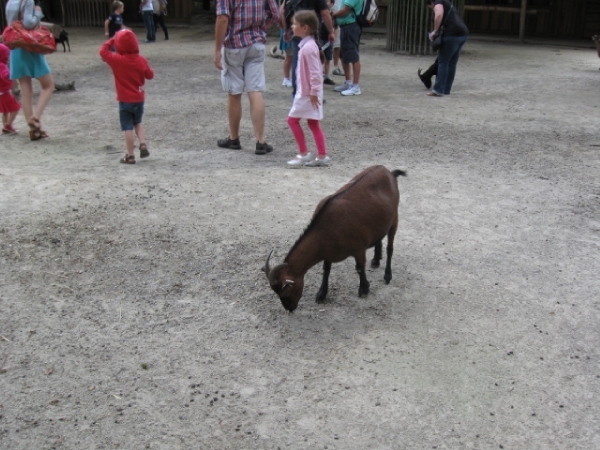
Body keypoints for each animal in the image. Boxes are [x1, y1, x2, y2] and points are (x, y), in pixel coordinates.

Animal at [264, 166, 408, 312]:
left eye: (285, 293)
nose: (290, 308)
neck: (325, 229)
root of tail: (389, 172)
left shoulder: (359, 248)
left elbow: (359, 268)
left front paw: (364, 289)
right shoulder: (328, 252)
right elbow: (326, 270)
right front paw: (321, 294)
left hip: (394, 218)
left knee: (390, 248)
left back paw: (387, 276)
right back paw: (376, 260)